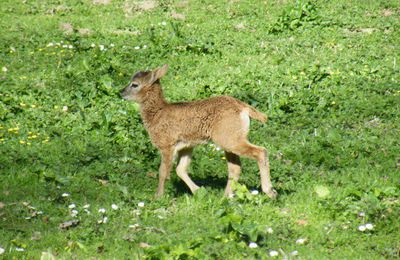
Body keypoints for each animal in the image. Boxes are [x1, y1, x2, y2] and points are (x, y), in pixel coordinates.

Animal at [120, 65, 276, 199]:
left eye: (134, 84)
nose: (120, 92)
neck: (156, 115)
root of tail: (244, 108)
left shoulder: (166, 143)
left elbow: (163, 172)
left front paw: (158, 196)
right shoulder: (186, 145)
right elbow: (180, 169)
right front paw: (198, 191)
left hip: (229, 137)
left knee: (260, 151)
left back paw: (269, 191)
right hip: (229, 137)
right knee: (235, 167)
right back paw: (226, 196)